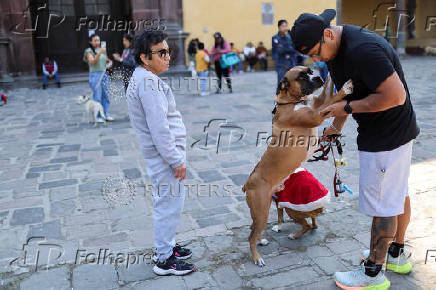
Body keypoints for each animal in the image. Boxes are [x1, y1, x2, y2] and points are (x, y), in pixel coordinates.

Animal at [242, 66, 354, 268]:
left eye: (310, 71)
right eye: (301, 77)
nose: (317, 77)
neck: (293, 101)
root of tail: (248, 182)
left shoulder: (317, 103)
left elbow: (327, 91)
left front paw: (329, 73)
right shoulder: (317, 115)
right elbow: (333, 99)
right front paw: (345, 89)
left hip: (263, 209)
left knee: (254, 229)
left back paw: (262, 241)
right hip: (262, 210)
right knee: (251, 235)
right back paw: (257, 258)